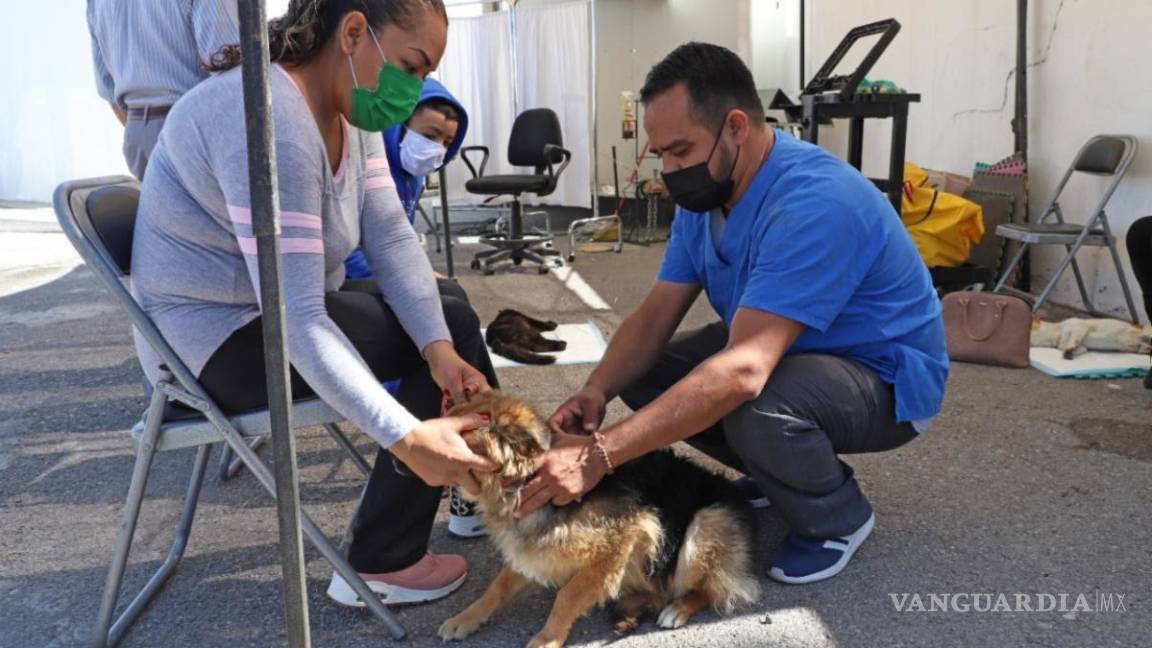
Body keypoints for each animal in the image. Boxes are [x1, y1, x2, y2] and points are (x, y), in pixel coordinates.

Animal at [435, 387, 760, 645]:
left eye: (461, 438)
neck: (524, 483)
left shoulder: (626, 538)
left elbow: (567, 596)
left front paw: (547, 638)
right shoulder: (532, 547)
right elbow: (498, 586)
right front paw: (465, 618)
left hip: (704, 527)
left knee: (713, 589)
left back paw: (677, 609)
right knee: (661, 590)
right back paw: (630, 612)